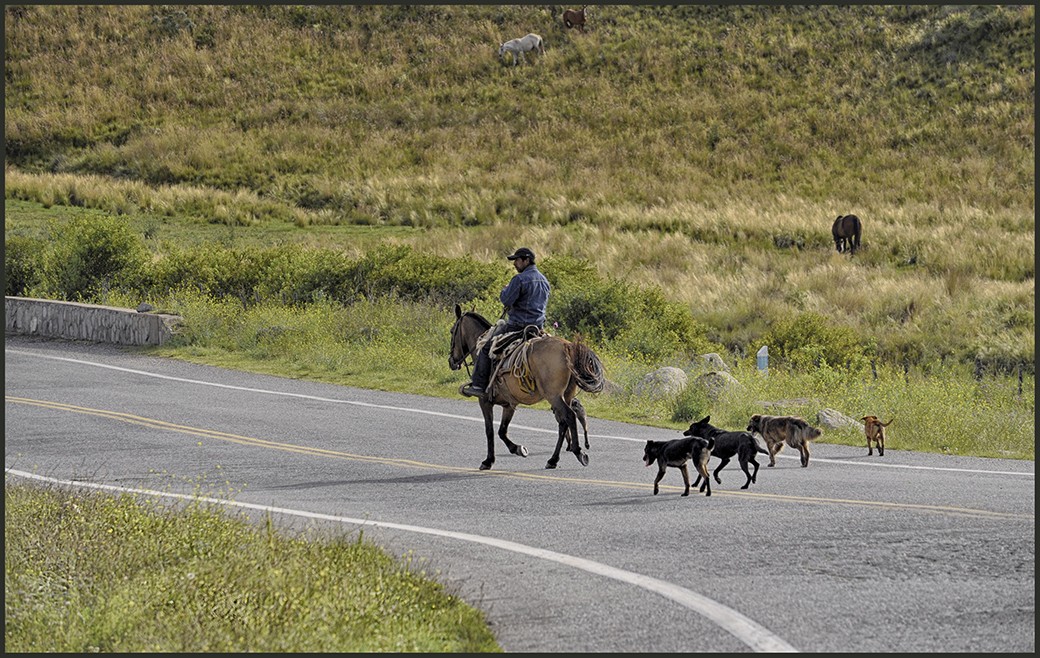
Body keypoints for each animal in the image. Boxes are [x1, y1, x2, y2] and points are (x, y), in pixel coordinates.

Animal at [449, 305, 607, 469]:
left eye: (452, 331)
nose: (451, 361)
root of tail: (567, 346)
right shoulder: (509, 404)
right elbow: (502, 431)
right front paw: (518, 449)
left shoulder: (485, 401)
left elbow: (490, 430)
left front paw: (488, 460)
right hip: (567, 394)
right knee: (563, 423)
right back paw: (553, 460)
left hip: (554, 396)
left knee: (569, 416)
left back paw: (578, 452)